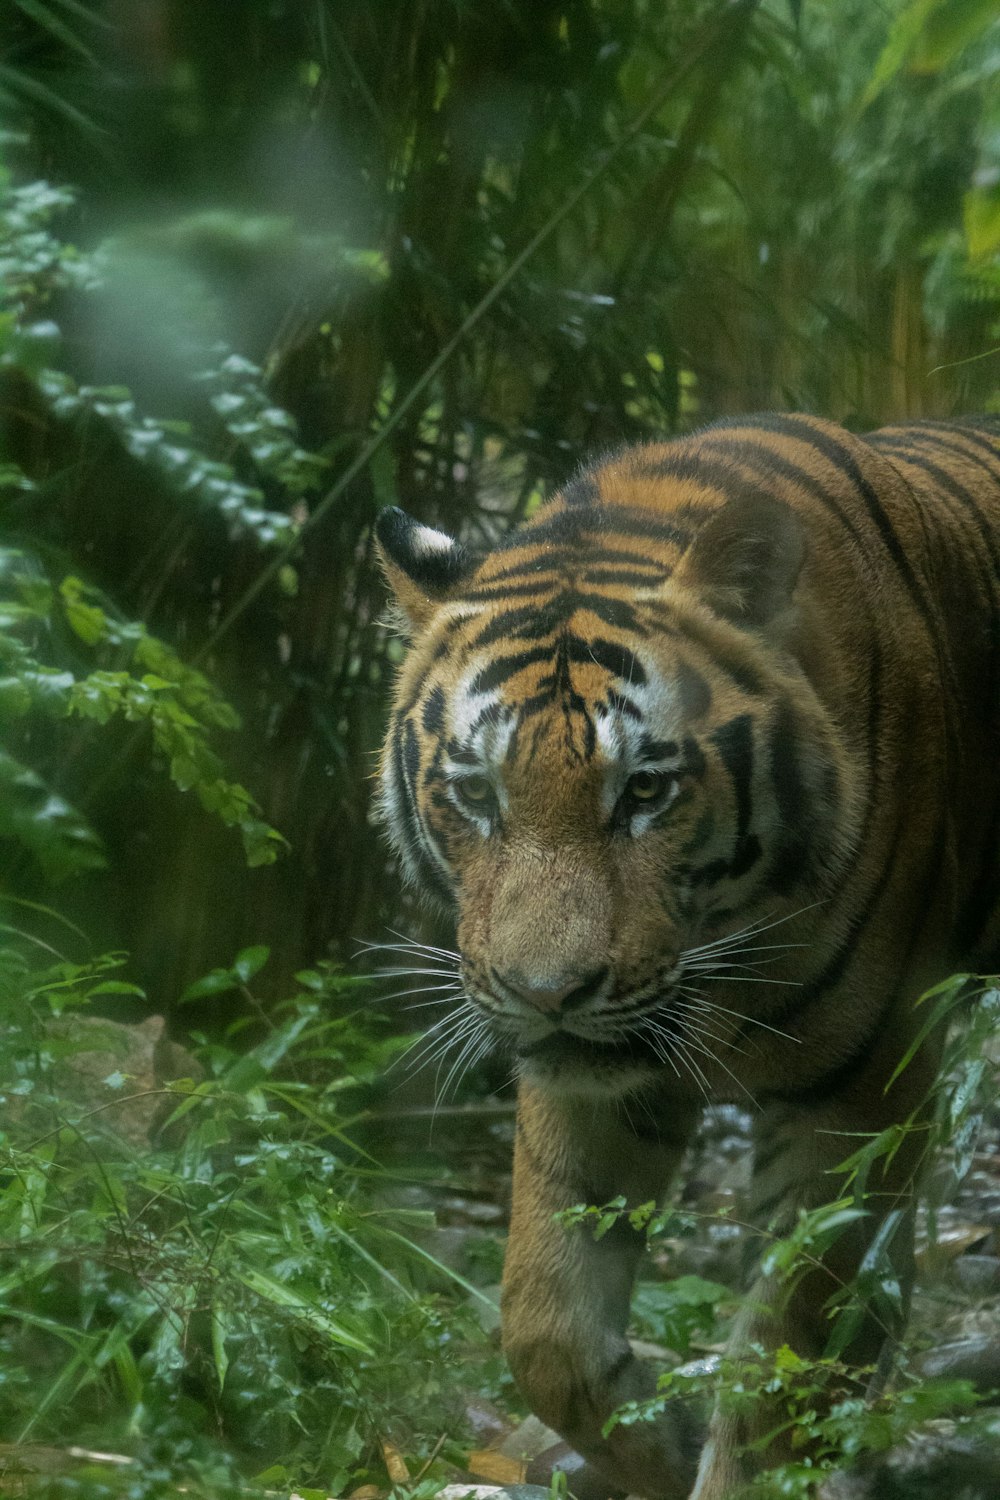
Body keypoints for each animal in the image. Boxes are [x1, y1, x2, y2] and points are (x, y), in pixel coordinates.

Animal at [371, 414, 1000, 1500]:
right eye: (477, 794)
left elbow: (788, 1349)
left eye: (645, 792)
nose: (547, 993)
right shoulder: (587, 1080)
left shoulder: (862, 1084)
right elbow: (544, 1320)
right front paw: (658, 1443)